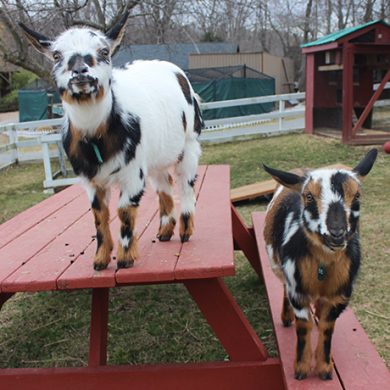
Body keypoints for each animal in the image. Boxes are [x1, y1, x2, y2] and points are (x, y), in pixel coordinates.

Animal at [19, 15, 203, 272]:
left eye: (104, 51)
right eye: (56, 55)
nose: (80, 70)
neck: (95, 137)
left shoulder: (132, 172)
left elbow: (124, 211)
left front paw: (125, 258)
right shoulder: (91, 180)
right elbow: (100, 215)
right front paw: (100, 260)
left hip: (189, 143)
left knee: (186, 185)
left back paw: (185, 231)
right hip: (156, 154)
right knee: (164, 183)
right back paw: (165, 231)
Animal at [262, 149, 378, 380]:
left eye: (357, 195)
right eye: (308, 196)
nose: (336, 234)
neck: (324, 266)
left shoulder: (339, 297)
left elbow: (326, 328)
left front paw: (324, 368)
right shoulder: (297, 292)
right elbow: (304, 326)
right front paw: (301, 369)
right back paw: (286, 318)